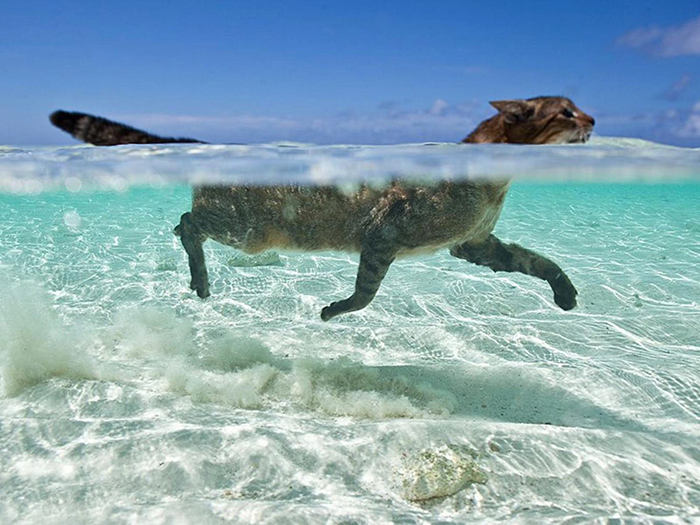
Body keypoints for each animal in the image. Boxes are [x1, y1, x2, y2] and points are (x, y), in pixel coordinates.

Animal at [52, 96, 592, 322]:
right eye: (566, 112)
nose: (592, 120)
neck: (494, 182)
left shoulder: (474, 244)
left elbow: (537, 261)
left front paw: (565, 292)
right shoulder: (385, 234)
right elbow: (366, 293)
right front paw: (334, 311)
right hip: (247, 227)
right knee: (189, 223)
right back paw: (200, 278)